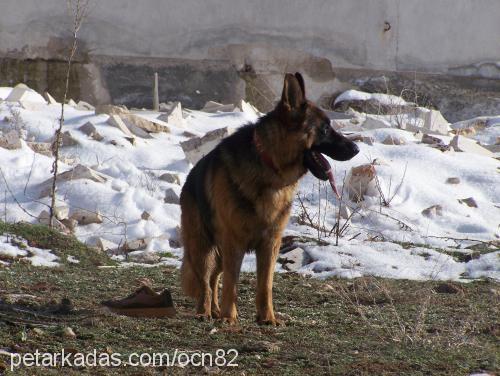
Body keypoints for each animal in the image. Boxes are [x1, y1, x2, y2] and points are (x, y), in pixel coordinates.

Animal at [180, 72, 360, 324]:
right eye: (324, 129)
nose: (356, 149)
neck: (270, 167)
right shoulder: (234, 242)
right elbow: (231, 284)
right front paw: (230, 317)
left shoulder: (270, 244)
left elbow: (265, 285)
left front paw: (267, 318)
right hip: (202, 246)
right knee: (205, 281)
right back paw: (204, 311)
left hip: (219, 250)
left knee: (214, 278)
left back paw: (215, 310)